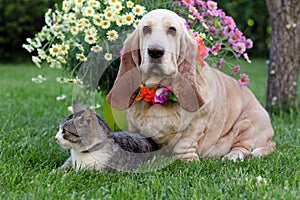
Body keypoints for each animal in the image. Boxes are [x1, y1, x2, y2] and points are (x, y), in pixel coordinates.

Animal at [106, 9, 276, 162]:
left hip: (247, 124)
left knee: (245, 147)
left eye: (172, 30)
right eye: (146, 29)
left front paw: (187, 159)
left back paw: (234, 156)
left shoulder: (198, 122)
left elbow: (186, 141)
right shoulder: (134, 126)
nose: (155, 52)